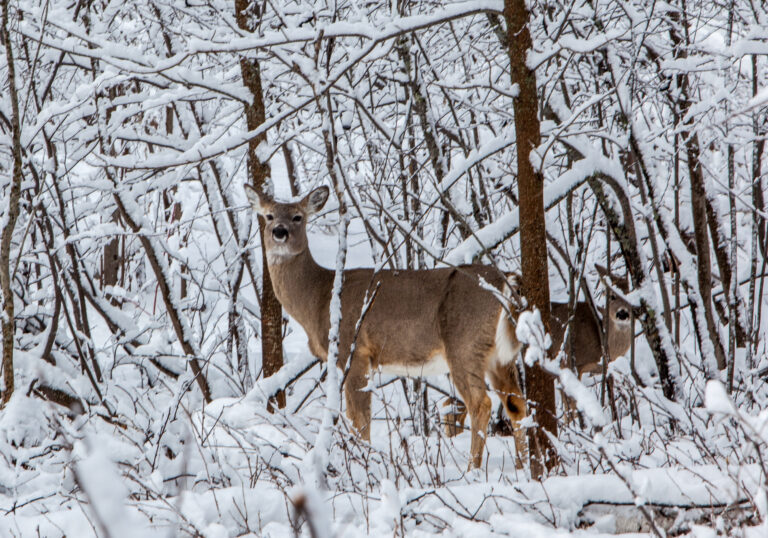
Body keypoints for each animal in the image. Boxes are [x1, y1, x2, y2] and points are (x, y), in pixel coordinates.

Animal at [244, 184, 528, 469]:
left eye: (298, 217)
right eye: (268, 216)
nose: (279, 232)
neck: (320, 298)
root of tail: (507, 282)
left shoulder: (354, 349)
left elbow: (360, 420)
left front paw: (363, 462)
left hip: (464, 343)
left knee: (481, 404)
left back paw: (473, 470)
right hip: (499, 355)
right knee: (516, 402)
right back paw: (524, 466)